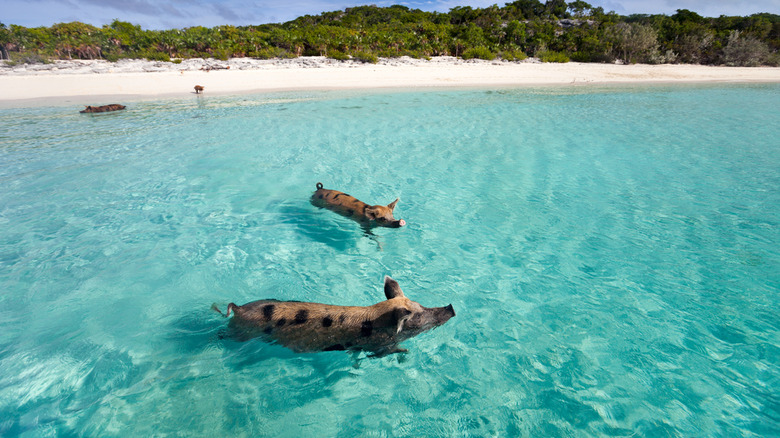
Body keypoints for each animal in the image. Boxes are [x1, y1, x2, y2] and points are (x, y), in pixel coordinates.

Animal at [213, 278, 458, 356]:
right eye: (419, 316)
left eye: (421, 304)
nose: (451, 307)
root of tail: (238, 308)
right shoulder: (378, 345)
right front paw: (405, 352)